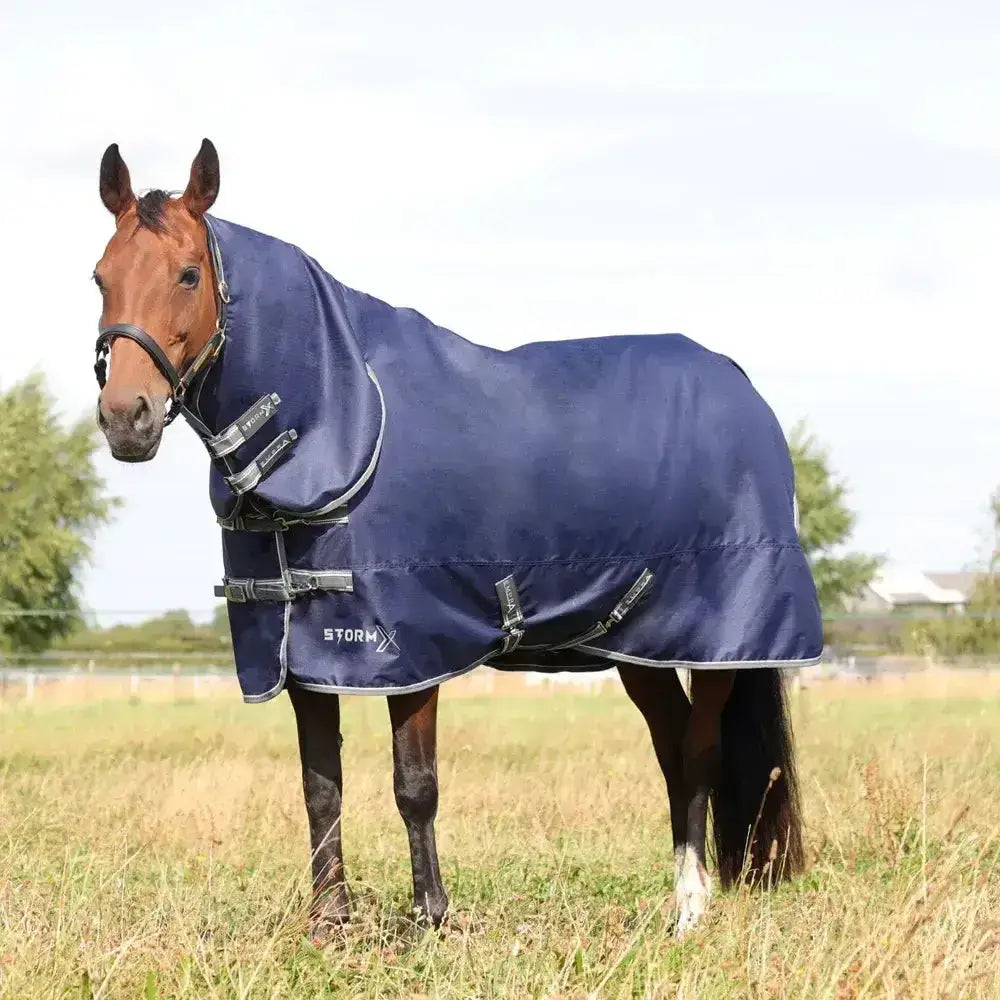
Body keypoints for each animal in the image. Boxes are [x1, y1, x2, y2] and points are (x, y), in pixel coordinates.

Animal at [92, 138, 822, 938]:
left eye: (189, 274)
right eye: (100, 277)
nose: (126, 417)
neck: (344, 420)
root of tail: (741, 386)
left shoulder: (411, 649)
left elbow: (415, 784)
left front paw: (431, 918)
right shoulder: (302, 651)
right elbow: (321, 784)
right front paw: (328, 923)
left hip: (719, 642)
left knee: (698, 751)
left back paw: (689, 910)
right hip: (641, 647)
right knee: (671, 746)